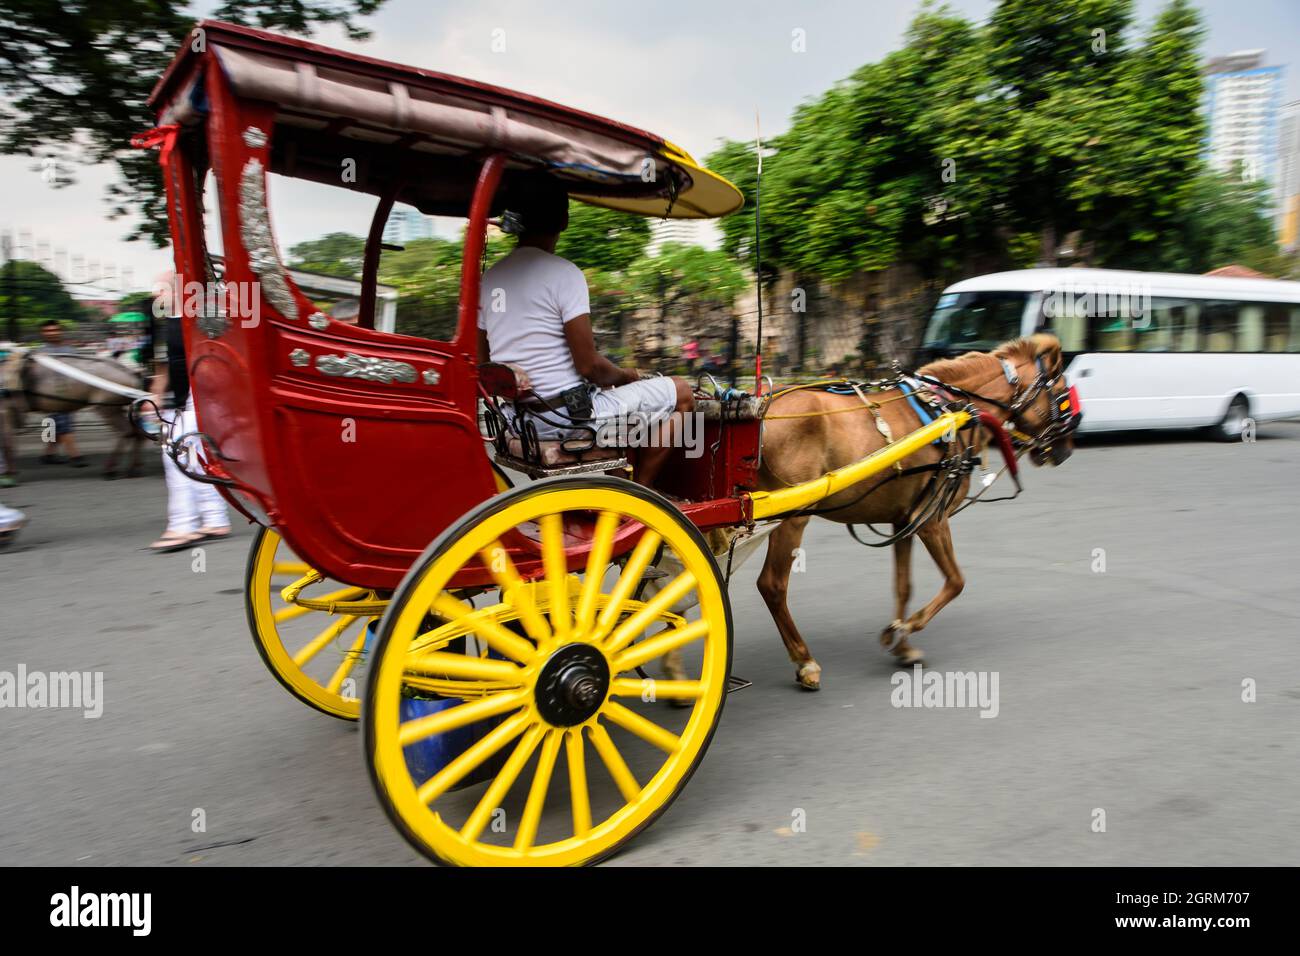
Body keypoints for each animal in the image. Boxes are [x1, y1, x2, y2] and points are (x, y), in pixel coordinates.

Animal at [754, 332, 1076, 691]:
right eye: (1063, 394)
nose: (1065, 449)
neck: (951, 409)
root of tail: (762, 409)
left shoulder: (904, 521)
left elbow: (903, 586)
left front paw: (903, 644)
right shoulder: (932, 519)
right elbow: (956, 581)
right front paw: (904, 629)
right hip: (791, 518)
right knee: (772, 585)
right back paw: (804, 661)